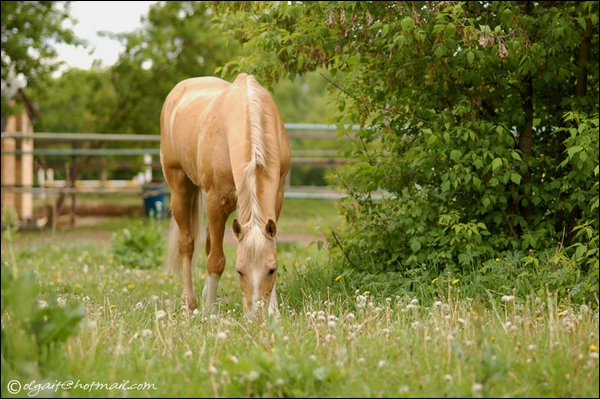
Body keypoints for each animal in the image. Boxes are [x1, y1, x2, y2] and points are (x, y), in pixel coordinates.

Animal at [159, 72, 290, 318]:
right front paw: (210, 312)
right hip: (179, 186)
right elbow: (216, 261)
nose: (255, 317)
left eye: (271, 270)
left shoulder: (277, 196)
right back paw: (190, 302)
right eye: (239, 271)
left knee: (209, 241)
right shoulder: (215, 201)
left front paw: (274, 312)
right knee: (187, 244)